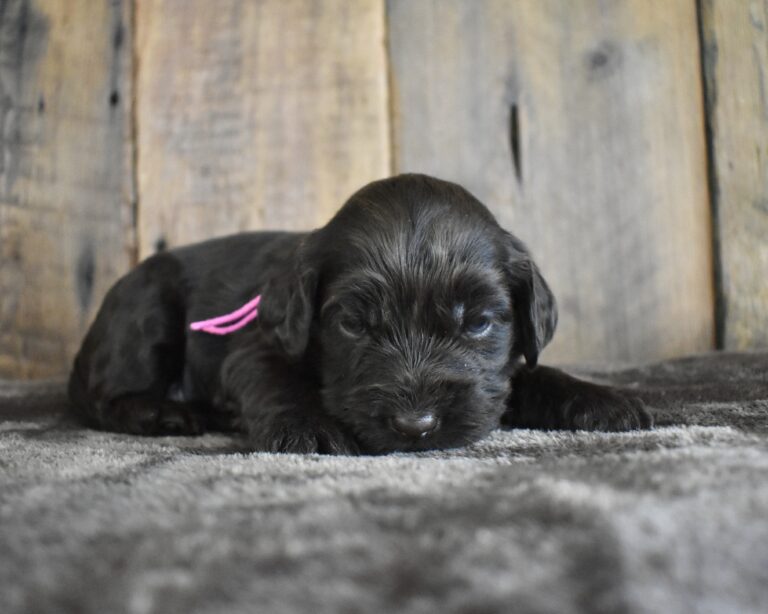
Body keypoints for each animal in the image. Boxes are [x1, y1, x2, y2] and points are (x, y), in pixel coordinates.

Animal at [69, 176, 652, 454]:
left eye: (478, 322)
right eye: (353, 324)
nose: (416, 426)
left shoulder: (501, 370)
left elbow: (531, 374)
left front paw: (602, 400)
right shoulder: (258, 345)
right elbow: (278, 382)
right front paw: (312, 428)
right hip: (148, 308)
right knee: (102, 399)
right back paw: (165, 413)